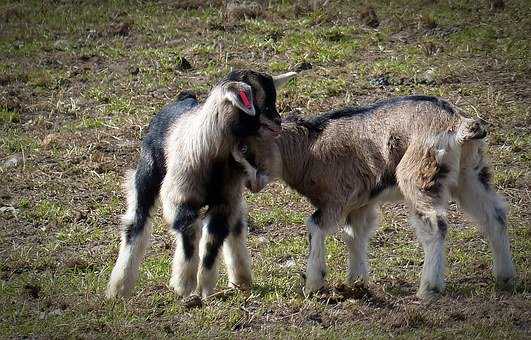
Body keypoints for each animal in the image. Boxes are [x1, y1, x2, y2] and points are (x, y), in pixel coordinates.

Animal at [106, 70, 298, 298]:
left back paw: (241, 279)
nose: (279, 122)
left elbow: (212, 242)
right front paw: (184, 285)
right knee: (136, 222)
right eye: (263, 102)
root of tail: (183, 100)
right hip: (147, 175)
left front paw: (205, 287)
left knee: (236, 227)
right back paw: (119, 287)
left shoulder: (224, 203)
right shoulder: (179, 197)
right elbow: (190, 234)